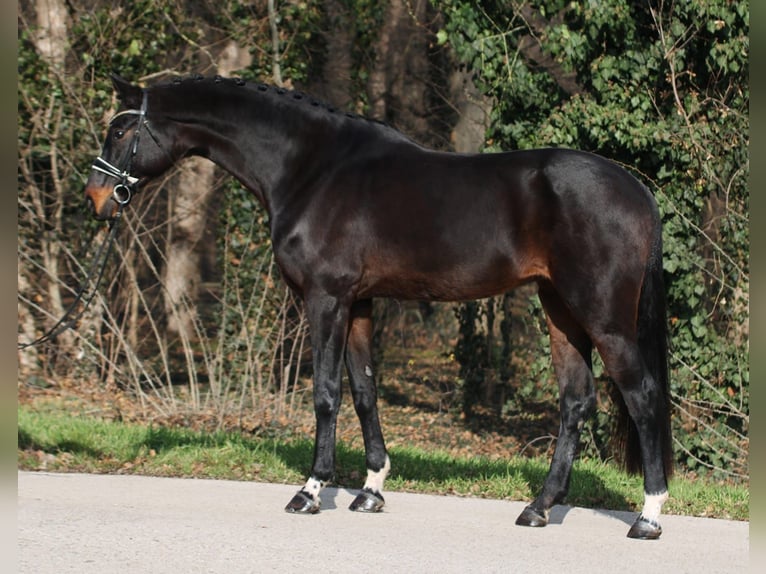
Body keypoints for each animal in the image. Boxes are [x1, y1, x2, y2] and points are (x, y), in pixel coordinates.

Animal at [85, 75, 672, 540]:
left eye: (121, 131)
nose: (96, 198)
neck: (313, 168)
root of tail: (638, 190)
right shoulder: (359, 302)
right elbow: (365, 391)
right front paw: (370, 489)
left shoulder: (325, 298)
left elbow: (326, 394)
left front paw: (310, 490)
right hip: (560, 311)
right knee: (576, 400)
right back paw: (539, 508)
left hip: (602, 317)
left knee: (642, 396)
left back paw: (648, 517)